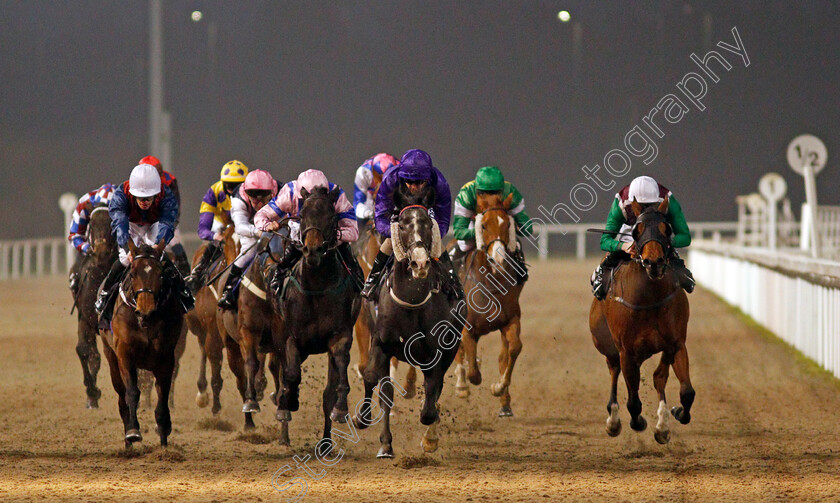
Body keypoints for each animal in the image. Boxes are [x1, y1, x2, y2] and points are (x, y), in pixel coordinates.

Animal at [101, 241, 185, 448]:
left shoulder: (166, 357)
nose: (145, 310)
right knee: (122, 398)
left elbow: (162, 396)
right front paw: (133, 431)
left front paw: (164, 438)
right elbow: (132, 392)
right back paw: (128, 443)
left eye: (161, 274)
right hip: (111, 358)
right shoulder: (124, 355)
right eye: (132, 273)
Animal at [452, 193, 524, 418]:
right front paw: (466, 381)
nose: (499, 259)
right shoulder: (466, 327)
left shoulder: (511, 319)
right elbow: (473, 372)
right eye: (482, 225)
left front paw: (499, 387)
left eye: (507, 223)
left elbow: (513, 349)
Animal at [588, 199, 692, 446]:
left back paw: (662, 424)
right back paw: (613, 420)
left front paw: (676, 413)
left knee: (659, 377)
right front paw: (637, 422)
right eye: (637, 230)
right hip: (607, 345)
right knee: (614, 370)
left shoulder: (676, 343)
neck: (649, 298)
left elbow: (686, 392)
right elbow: (633, 401)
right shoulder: (626, 351)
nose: (653, 262)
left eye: (667, 229)